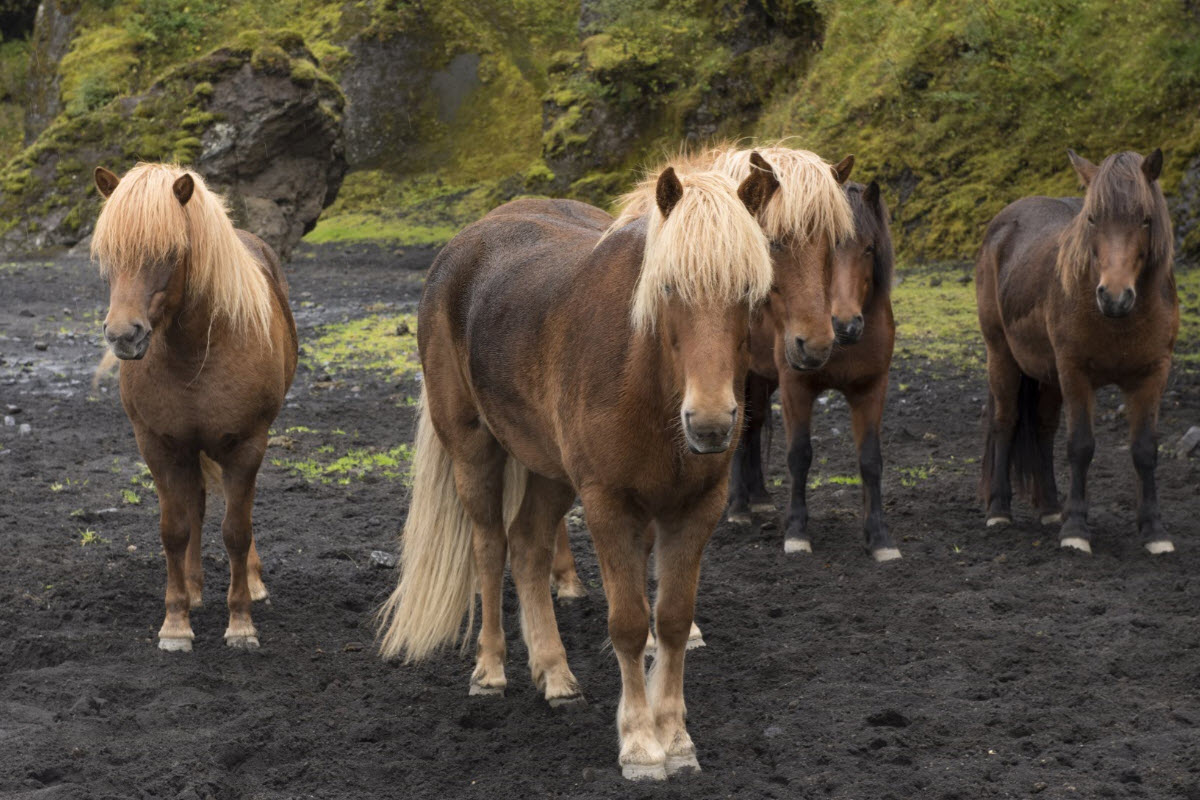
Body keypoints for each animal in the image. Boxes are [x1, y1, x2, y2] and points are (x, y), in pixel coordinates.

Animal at [91, 160, 297, 652]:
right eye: (107, 254)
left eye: (169, 252)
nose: (123, 335)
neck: (194, 353)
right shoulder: (160, 446)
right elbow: (175, 529)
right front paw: (176, 622)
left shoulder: (246, 446)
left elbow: (236, 531)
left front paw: (240, 623)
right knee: (198, 507)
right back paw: (195, 587)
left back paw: (251, 585)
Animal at [379, 158, 782, 782]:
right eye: (669, 288)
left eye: (751, 290)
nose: (712, 423)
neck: (648, 381)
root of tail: (461, 247)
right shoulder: (608, 504)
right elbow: (629, 623)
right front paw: (640, 745)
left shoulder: (696, 509)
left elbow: (671, 620)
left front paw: (676, 738)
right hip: (475, 452)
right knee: (490, 546)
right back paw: (490, 671)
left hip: (549, 471)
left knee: (527, 546)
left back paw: (556, 675)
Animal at [720, 179, 902, 563]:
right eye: (828, 248)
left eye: (869, 248)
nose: (845, 324)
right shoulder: (796, 388)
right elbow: (799, 456)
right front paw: (797, 534)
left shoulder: (871, 389)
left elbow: (870, 460)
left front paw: (879, 538)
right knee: (742, 430)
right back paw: (739, 508)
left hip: (762, 379)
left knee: (754, 426)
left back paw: (759, 500)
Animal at [974, 146, 1180, 554]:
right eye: (1093, 218)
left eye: (1145, 219)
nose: (1114, 296)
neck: (1121, 321)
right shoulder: (1075, 372)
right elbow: (1081, 446)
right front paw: (1076, 531)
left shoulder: (1152, 374)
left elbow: (1145, 450)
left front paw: (1154, 531)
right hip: (1002, 356)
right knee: (1005, 422)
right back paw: (1000, 510)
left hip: (1047, 375)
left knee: (1042, 429)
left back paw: (1052, 508)